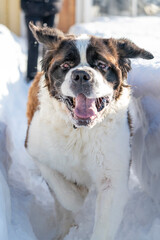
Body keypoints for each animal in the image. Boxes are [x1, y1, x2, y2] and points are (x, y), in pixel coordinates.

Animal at [25, 21, 154, 239]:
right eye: (66, 65)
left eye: (102, 65)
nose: (81, 75)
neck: (80, 131)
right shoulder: (36, 151)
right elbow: (65, 192)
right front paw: (77, 194)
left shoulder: (113, 178)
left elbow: (104, 223)